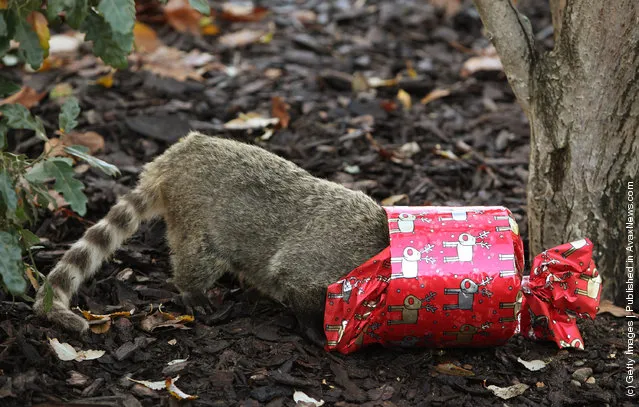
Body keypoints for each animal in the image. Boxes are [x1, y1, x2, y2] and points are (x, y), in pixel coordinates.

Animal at [35, 133, 390, 342]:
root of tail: (170, 159)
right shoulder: (328, 260)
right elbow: (295, 282)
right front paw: (316, 331)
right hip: (197, 220)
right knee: (198, 257)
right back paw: (192, 291)